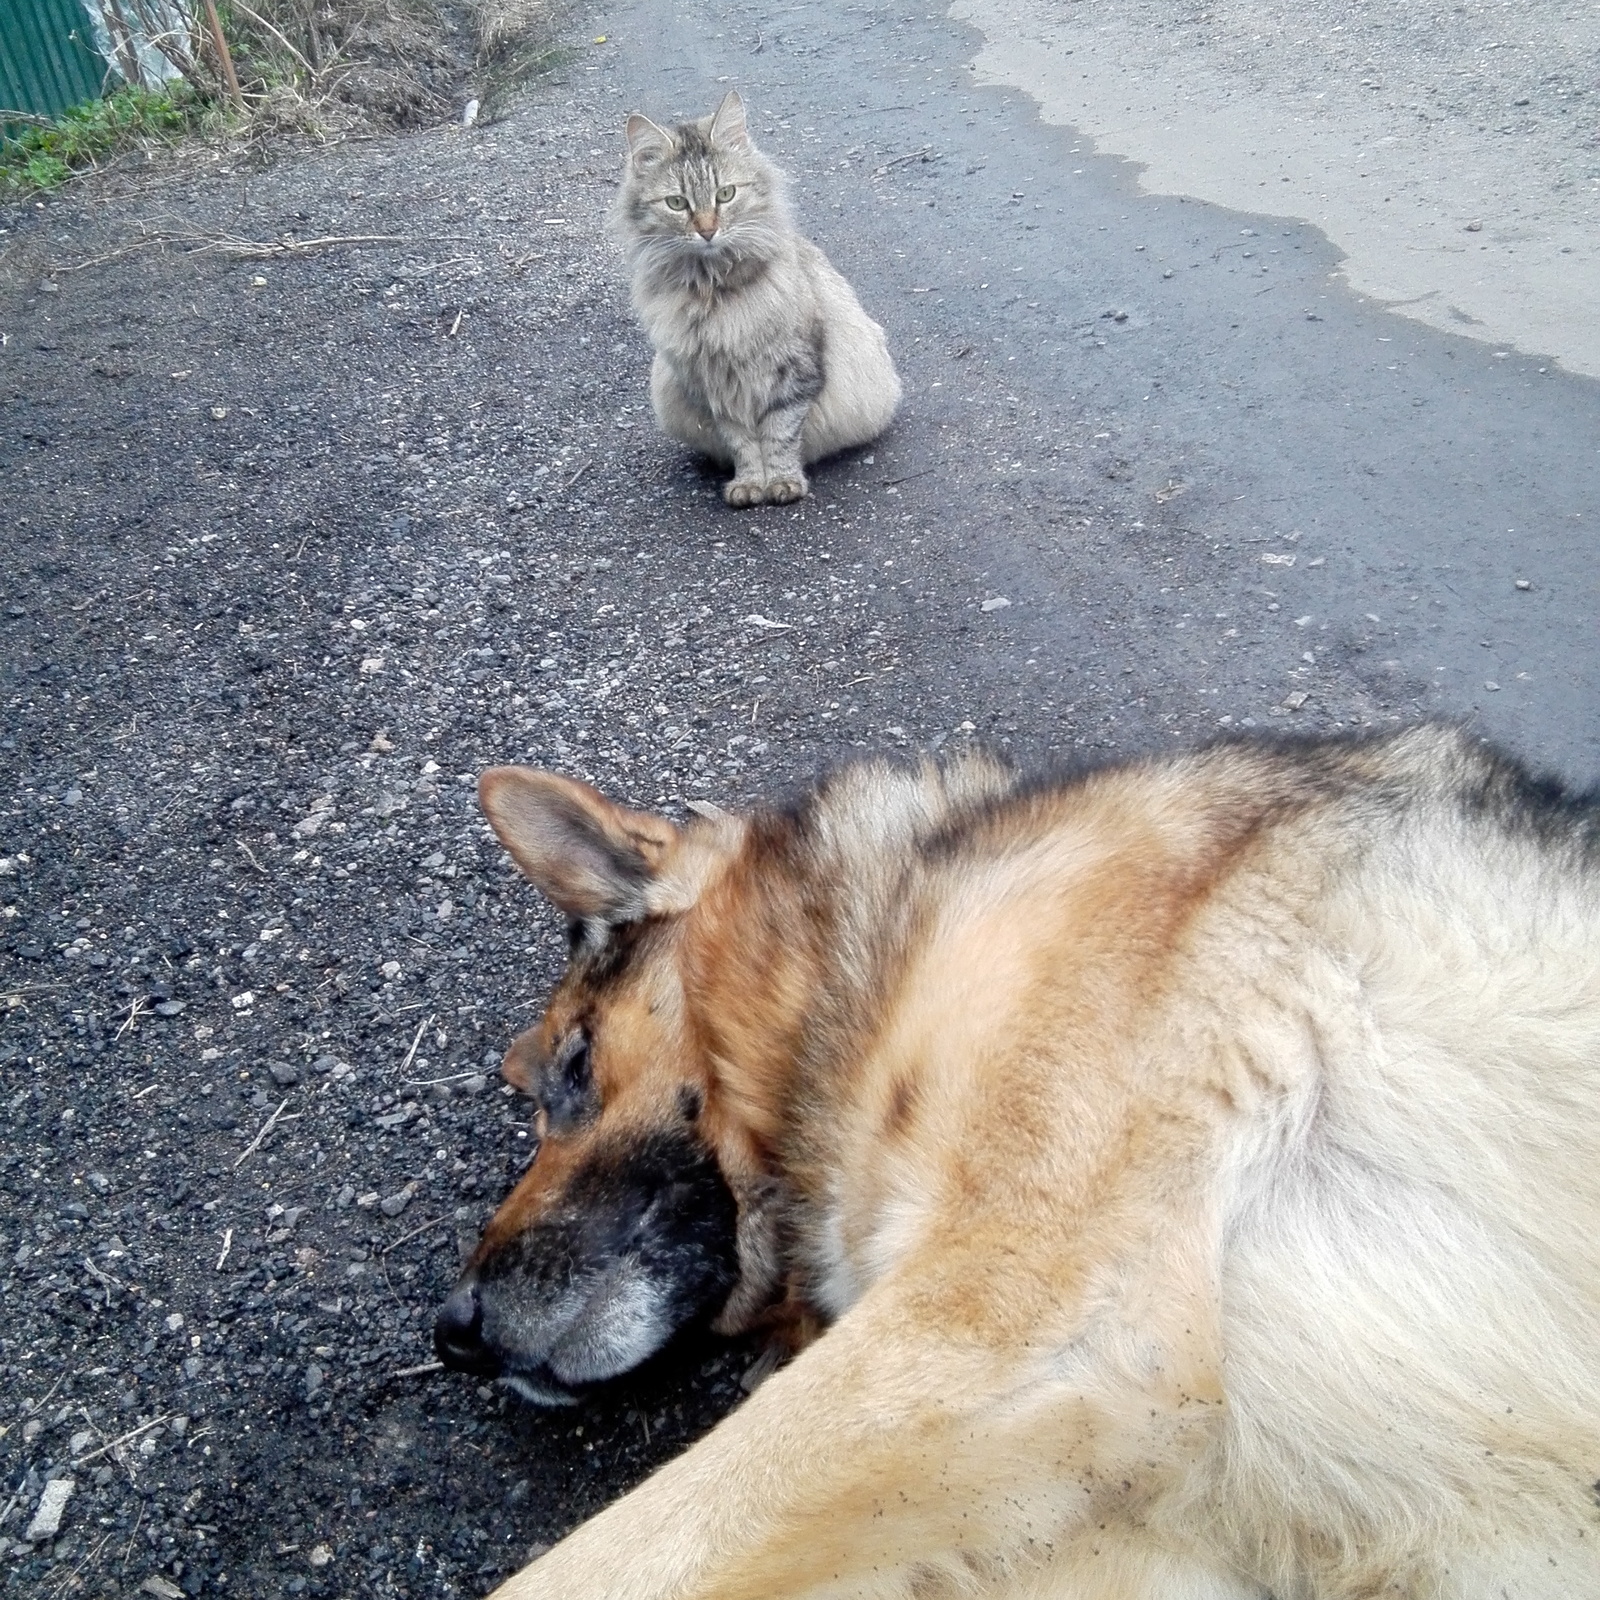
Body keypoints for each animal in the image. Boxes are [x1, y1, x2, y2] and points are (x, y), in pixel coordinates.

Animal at [608, 89, 896, 512]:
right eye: (677, 203)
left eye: (725, 195)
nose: (707, 230)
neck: (713, 291)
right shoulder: (713, 387)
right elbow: (742, 442)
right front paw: (748, 485)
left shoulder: (793, 373)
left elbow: (779, 436)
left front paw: (782, 483)